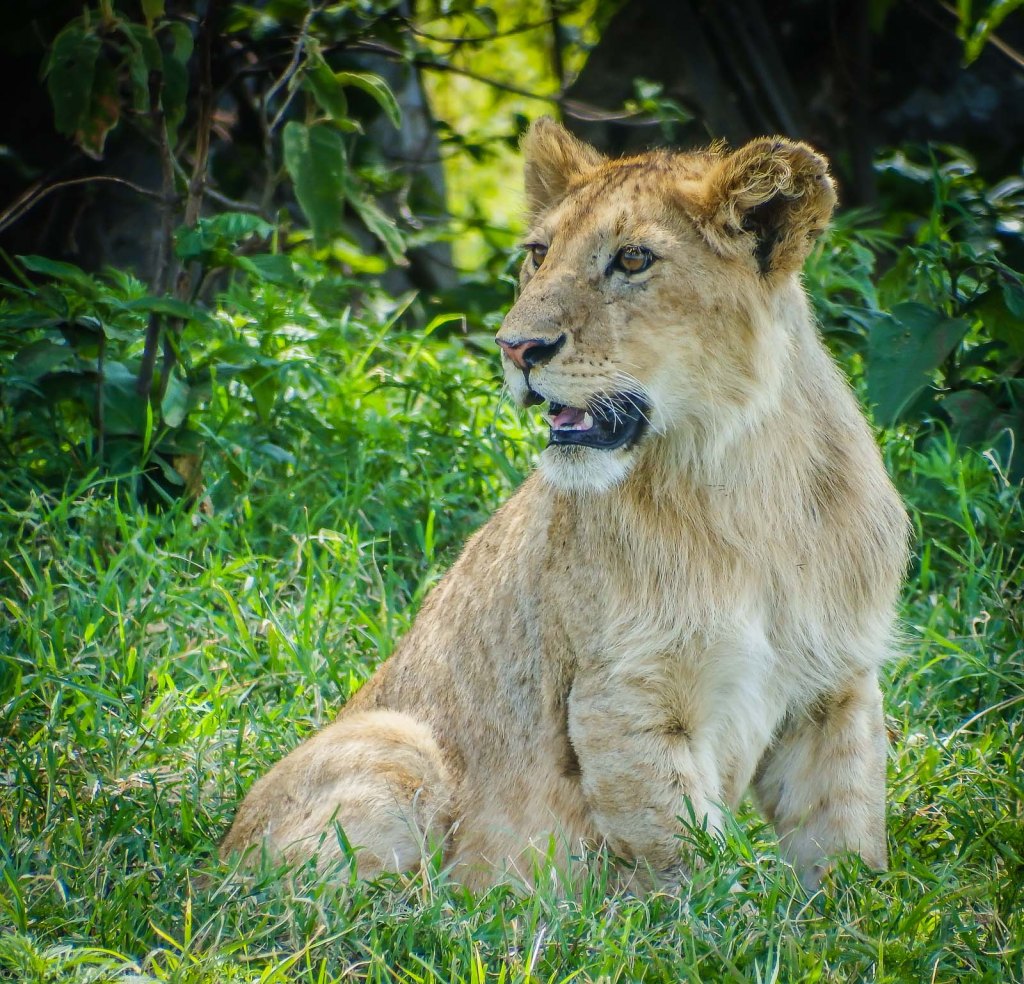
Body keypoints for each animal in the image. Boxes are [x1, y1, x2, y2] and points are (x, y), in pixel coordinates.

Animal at [221, 119, 910, 893]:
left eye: (633, 258)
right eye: (538, 254)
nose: (517, 347)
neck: (744, 483)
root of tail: (212, 868)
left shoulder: (836, 684)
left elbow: (844, 830)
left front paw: (852, 904)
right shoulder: (622, 695)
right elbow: (679, 854)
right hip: (395, 740)